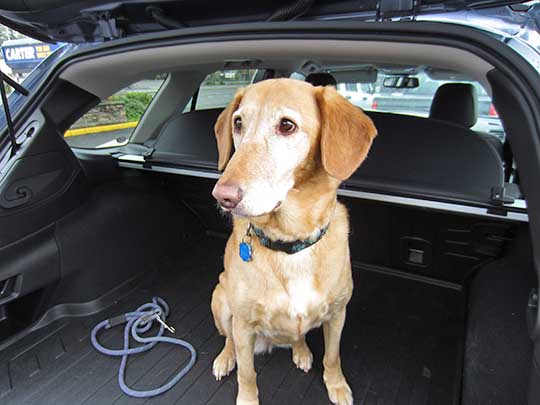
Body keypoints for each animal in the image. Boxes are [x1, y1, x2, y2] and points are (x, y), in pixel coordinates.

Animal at [210, 77, 376, 402]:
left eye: (287, 125)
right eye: (238, 123)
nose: (222, 196)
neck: (290, 243)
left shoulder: (338, 314)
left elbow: (333, 356)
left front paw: (336, 385)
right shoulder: (243, 324)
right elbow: (247, 373)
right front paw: (247, 398)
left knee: (298, 336)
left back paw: (301, 351)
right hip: (220, 300)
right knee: (229, 341)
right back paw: (225, 358)